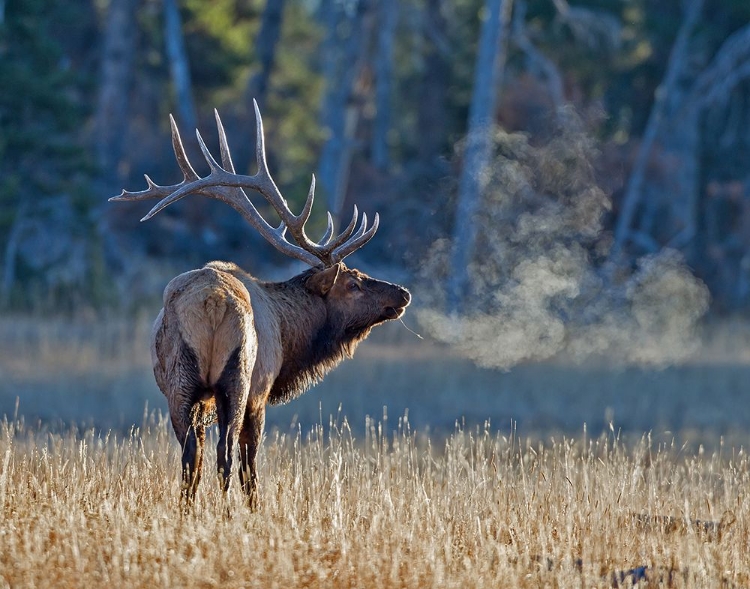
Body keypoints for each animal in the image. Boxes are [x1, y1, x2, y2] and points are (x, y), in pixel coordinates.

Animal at [113, 101, 412, 506]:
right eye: (353, 282)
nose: (402, 293)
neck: (290, 336)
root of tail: (212, 302)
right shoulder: (261, 392)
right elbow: (249, 466)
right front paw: (255, 508)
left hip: (180, 382)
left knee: (191, 455)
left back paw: (187, 509)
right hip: (237, 378)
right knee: (226, 456)